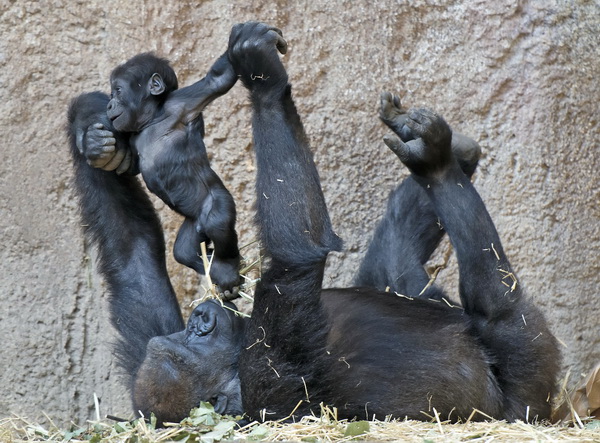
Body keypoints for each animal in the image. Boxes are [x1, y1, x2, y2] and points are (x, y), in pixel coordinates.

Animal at [106, 52, 240, 294]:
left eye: (118, 91)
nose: (109, 104)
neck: (152, 119)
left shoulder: (180, 104)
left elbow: (218, 80)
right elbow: (131, 165)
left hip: (216, 202)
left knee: (217, 223)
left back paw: (227, 267)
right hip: (193, 224)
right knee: (184, 251)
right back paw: (215, 269)